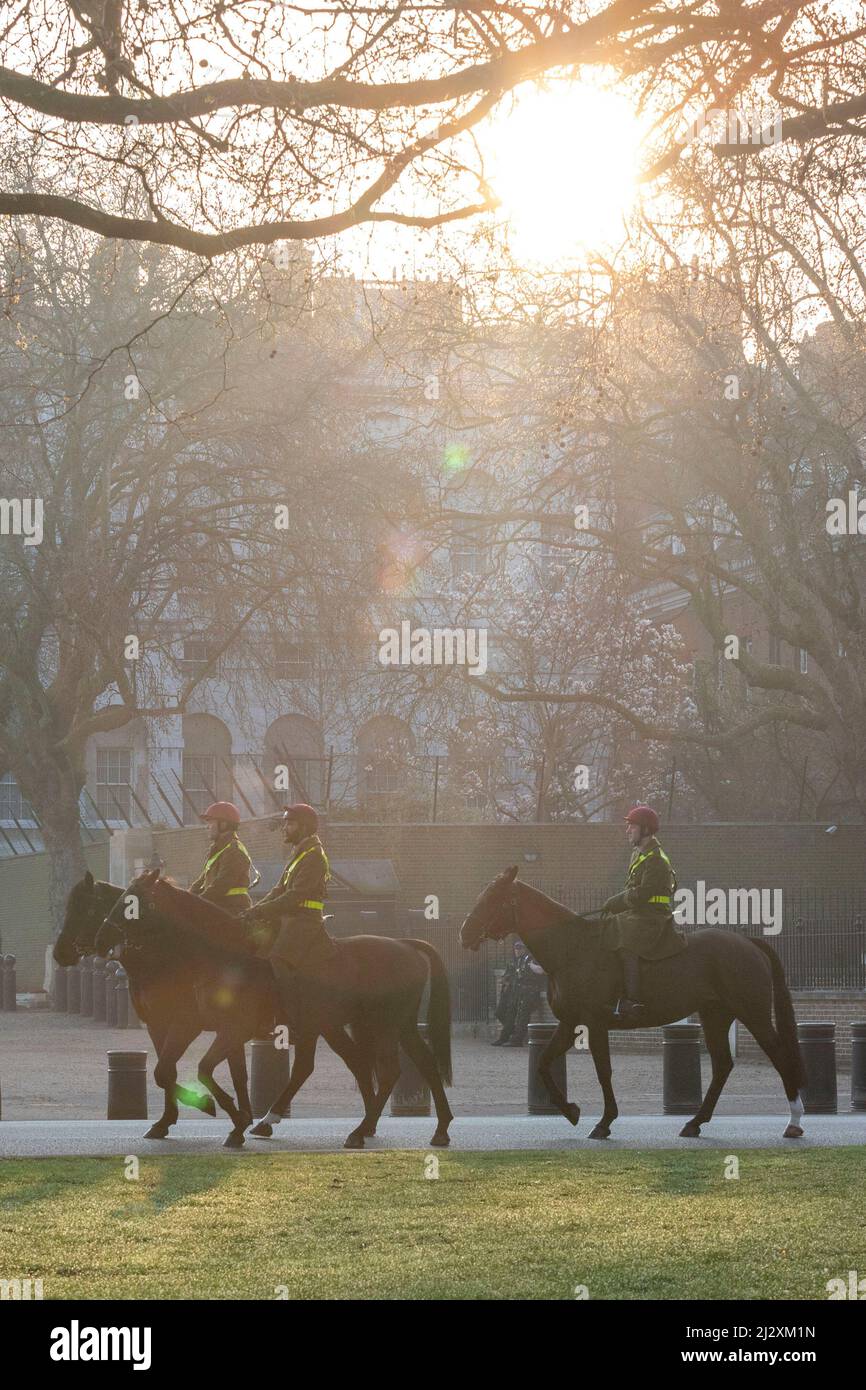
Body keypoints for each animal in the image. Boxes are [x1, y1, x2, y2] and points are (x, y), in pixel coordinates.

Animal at [112, 867, 458, 1150]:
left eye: (134, 899)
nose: (107, 935)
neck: (220, 955)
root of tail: (405, 944)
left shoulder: (231, 1029)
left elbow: (205, 1069)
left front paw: (228, 1116)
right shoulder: (199, 1026)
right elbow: (178, 1070)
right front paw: (234, 1119)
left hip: (382, 1026)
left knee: (387, 1071)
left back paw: (358, 1131)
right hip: (382, 1026)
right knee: (417, 1064)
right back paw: (436, 1128)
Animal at [464, 867, 811, 1139]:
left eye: (492, 898)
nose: (464, 934)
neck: (573, 948)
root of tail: (746, 942)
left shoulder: (595, 1022)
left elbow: (603, 1071)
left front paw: (604, 1122)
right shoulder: (571, 1022)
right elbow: (543, 1063)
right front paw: (570, 1110)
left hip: (753, 1013)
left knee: (779, 1056)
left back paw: (794, 1121)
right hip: (715, 1016)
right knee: (723, 1065)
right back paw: (695, 1122)